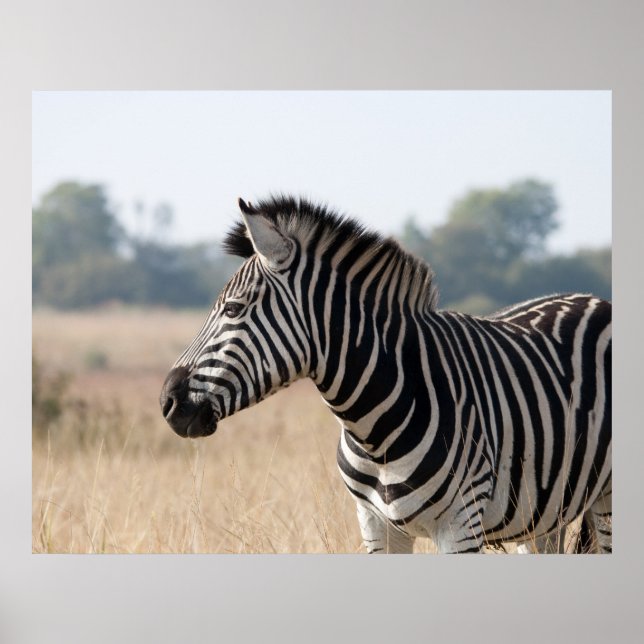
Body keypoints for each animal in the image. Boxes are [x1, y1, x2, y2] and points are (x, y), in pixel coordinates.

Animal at [160, 195, 611, 554]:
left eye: (233, 309)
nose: (167, 401)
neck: (375, 430)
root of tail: (593, 298)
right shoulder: (375, 524)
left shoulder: (461, 525)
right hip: (544, 513)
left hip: (606, 501)